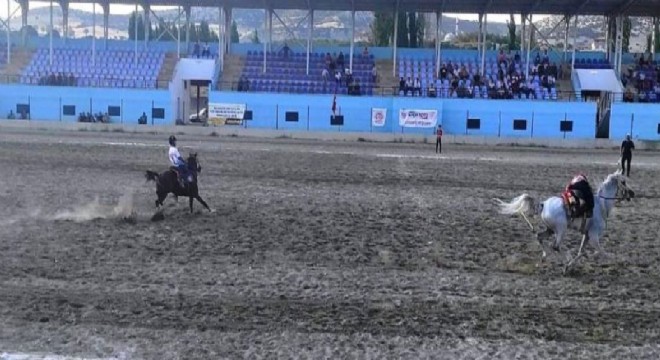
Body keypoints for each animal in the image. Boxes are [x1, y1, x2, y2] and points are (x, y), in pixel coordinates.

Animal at [496, 170, 636, 272]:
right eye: (623, 182)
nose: (633, 193)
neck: (601, 205)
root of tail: (543, 204)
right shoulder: (594, 236)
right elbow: (602, 252)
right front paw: (619, 260)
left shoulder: (587, 235)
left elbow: (581, 252)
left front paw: (571, 265)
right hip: (561, 229)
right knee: (555, 246)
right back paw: (565, 260)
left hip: (551, 230)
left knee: (539, 237)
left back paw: (544, 257)